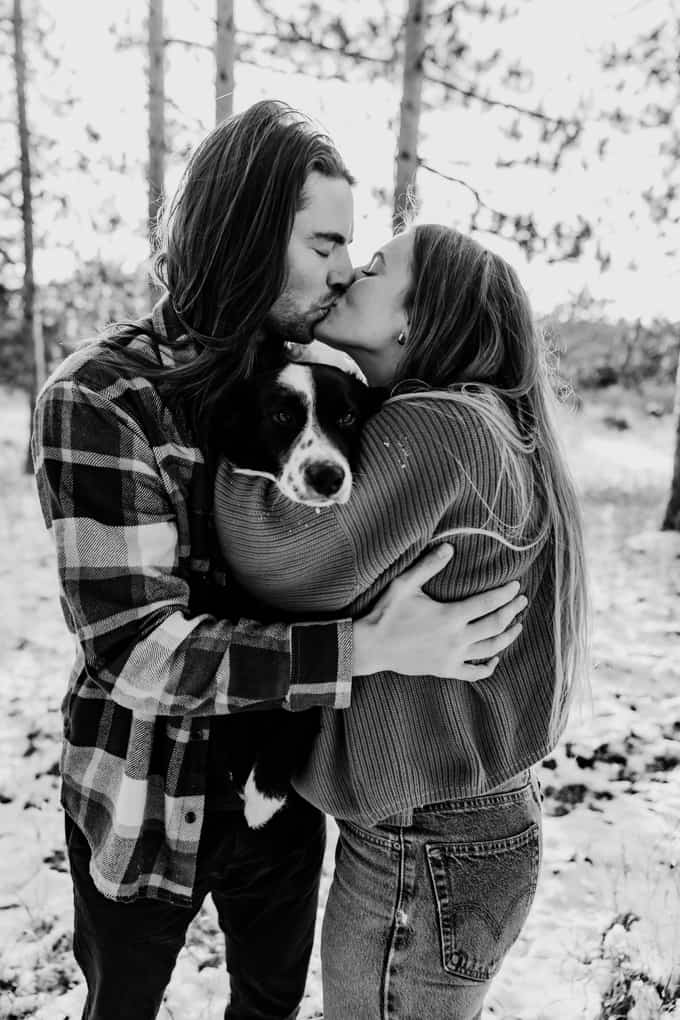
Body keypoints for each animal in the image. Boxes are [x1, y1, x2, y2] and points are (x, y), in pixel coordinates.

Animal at [215, 354, 381, 824]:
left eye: (347, 417)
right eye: (282, 417)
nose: (328, 476)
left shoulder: (326, 633)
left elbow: (299, 707)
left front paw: (263, 795)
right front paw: (238, 767)